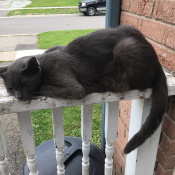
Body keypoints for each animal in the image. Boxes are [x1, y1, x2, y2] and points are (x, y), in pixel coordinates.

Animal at [0, 25, 167, 154]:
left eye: (24, 85)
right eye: (10, 88)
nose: (19, 96)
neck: (44, 65)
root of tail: (157, 60)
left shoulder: (71, 86)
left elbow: (43, 86)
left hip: (126, 48)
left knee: (139, 82)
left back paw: (107, 82)